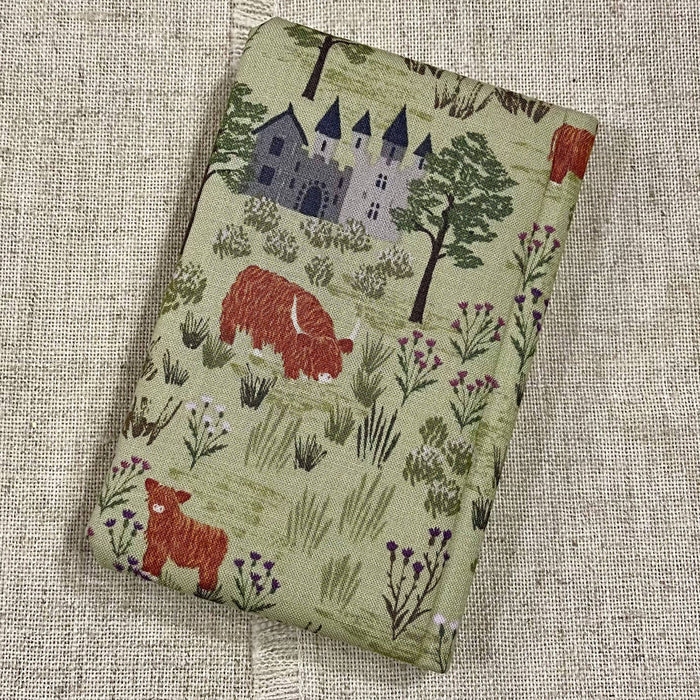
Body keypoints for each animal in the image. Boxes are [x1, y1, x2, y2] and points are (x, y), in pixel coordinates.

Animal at [220, 265, 359, 383]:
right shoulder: (291, 350)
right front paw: (293, 379)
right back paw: (226, 344)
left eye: (336, 356)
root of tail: (250, 269)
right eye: (314, 354)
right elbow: (292, 367)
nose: (325, 376)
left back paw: (257, 352)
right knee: (228, 323)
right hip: (234, 309)